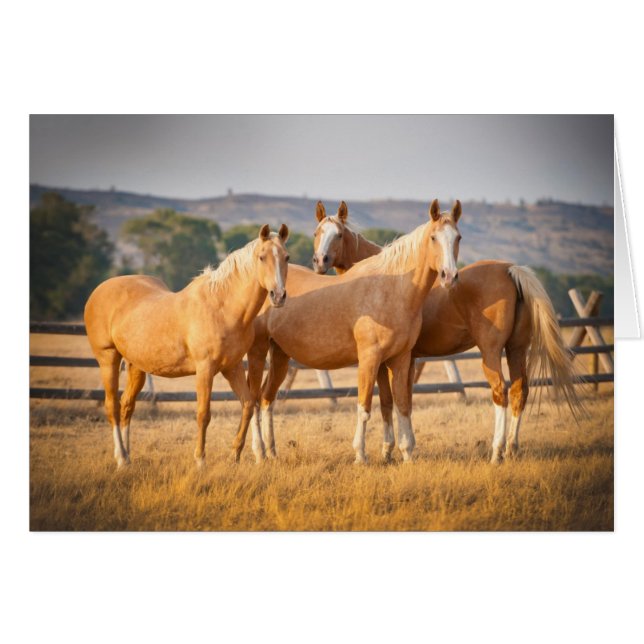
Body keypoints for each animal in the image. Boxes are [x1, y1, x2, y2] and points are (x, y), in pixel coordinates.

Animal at [84, 224, 290, 469]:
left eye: (286, 257)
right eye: (261, 257)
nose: (278, 296)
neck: (223, 308)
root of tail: (98, 291)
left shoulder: (232, 367)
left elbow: (248, 404)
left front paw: (235, 455)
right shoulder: (205, 369)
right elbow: (203, 414)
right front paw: (200, 461)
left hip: (136, 366)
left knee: (127, 405)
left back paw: (128, 456)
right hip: (108, 359)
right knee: (112, 406)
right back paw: (122, 459)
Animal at [244, 199, 462, 464]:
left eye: (458, 237)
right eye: (433, 237)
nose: (449, 276)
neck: (392, 289)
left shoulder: (400, 359)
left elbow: (401, 405)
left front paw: (406, 454)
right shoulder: (369, 359)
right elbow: (366, 407)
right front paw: (361, 455)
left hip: (280, 355)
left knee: (267, 398)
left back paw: (272, 452)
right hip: (258, 351)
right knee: (254, 399)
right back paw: (258, 452)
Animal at [313, 201, 582, 463]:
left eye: (338, 234)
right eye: (317, 233)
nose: (320, 261)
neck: (391, 278)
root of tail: (509, 269)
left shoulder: (384, 361)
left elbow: (389, 402)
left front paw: (389, 450)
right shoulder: (405, 360)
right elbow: (402, 401)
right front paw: (398, 448)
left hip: (491, 352)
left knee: (500, 391)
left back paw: (496, 452)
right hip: (516, 349)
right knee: (519, 391)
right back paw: (511, 449)